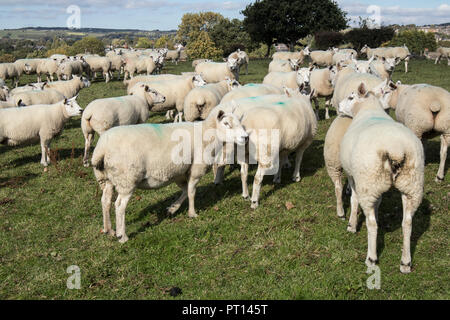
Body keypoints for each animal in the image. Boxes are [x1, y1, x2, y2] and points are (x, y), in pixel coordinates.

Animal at [89, 107, 248, 242]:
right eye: (226, 123)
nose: (245, 137)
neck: (208, 133)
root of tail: (102, 148)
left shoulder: (179, 172)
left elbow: (185, 191)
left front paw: (172, 209)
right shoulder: (195, 169)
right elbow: (191, 192)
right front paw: (192, 213)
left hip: (106, 179)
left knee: (105, 201)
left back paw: (108, 230)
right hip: (127, 179)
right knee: (119, 205)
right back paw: (122, 236)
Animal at [340, 82, 424, 272]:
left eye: (351, 97)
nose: (339, 106)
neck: (368, 109)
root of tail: (396, 149)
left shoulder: (353, 177)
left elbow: (354, 200)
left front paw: (351, 225)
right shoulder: (377, 186)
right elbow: (378, 202)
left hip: (368, 182)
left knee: (372, 224)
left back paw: (371, 258)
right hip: (412, 185)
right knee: (407, 223)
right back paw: (405, 262)